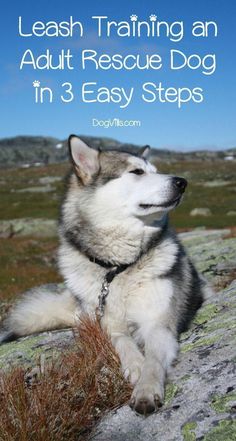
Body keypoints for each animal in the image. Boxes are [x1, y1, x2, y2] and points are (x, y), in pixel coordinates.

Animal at [0, 137, 206, 412]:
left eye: (155, 170)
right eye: (137, 172)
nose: (182, 182)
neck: (116, 268)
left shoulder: (159, 323)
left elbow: (153, 360)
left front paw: (146, 389)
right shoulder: (108, 323)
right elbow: (123, 342)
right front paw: (135, 366)